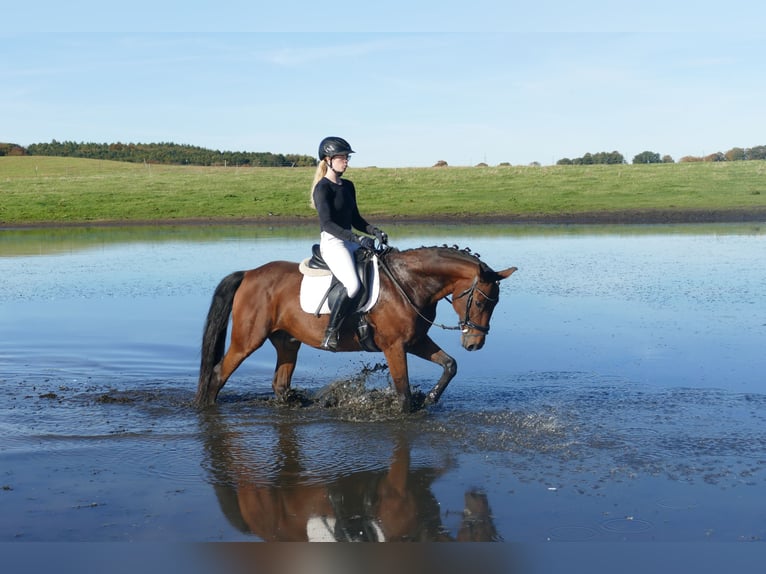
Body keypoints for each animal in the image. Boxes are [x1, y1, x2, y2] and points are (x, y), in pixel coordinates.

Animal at [195, 244, 516, 412]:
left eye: (496, 303)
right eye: (480, 301)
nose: (475, 343)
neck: (408, 283)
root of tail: (249, 274)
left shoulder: (415, 341)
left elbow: (450, 365)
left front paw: (430, 398)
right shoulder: (394, 346)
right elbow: (402, 391)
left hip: (287, 342)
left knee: (280, 385)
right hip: (248, 340)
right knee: (218, 373)